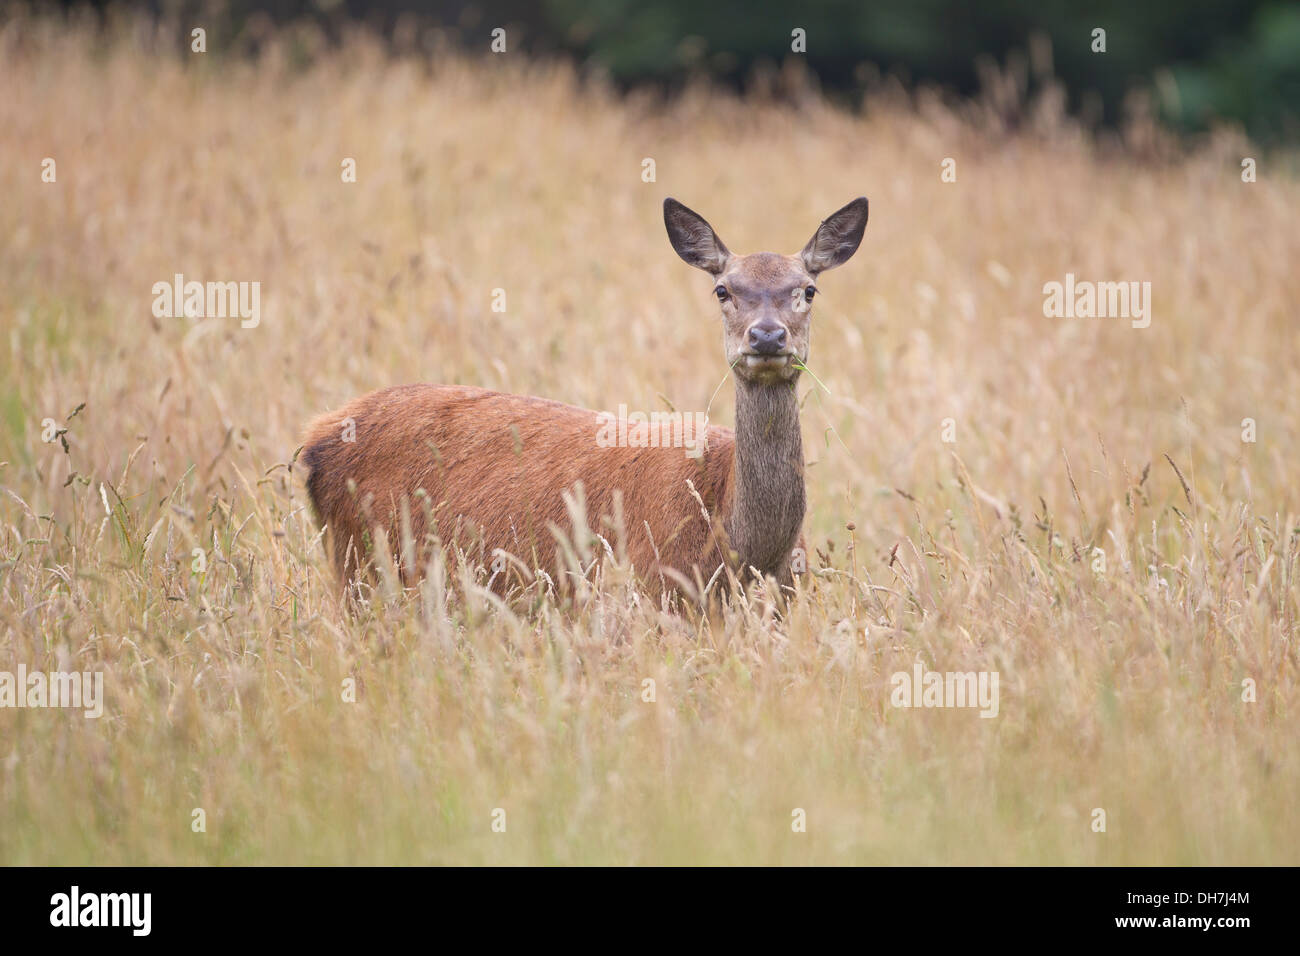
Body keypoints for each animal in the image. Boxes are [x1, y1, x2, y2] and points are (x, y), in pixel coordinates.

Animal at [302, 195, 868, 606]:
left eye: (808, 289)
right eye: (723, 290)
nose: (768, 336)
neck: (741, 549)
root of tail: (316, 438)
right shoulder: (651, 594)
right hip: (361, 567)